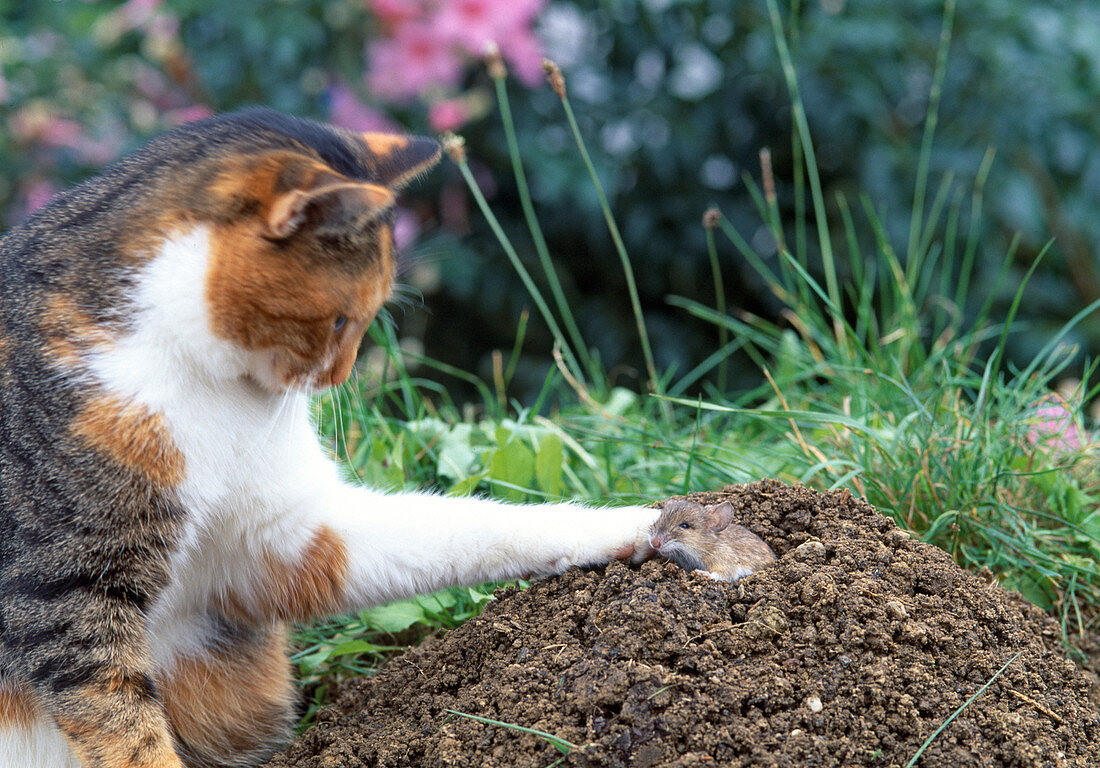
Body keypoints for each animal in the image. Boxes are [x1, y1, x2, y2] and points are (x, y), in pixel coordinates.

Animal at [0, 108, 655, 765]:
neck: (207, 383)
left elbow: (470, 527)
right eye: (340, 319)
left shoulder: (281, 538)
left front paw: (635, 526)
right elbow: (120, 720)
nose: (340, 376)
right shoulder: (62, 590)